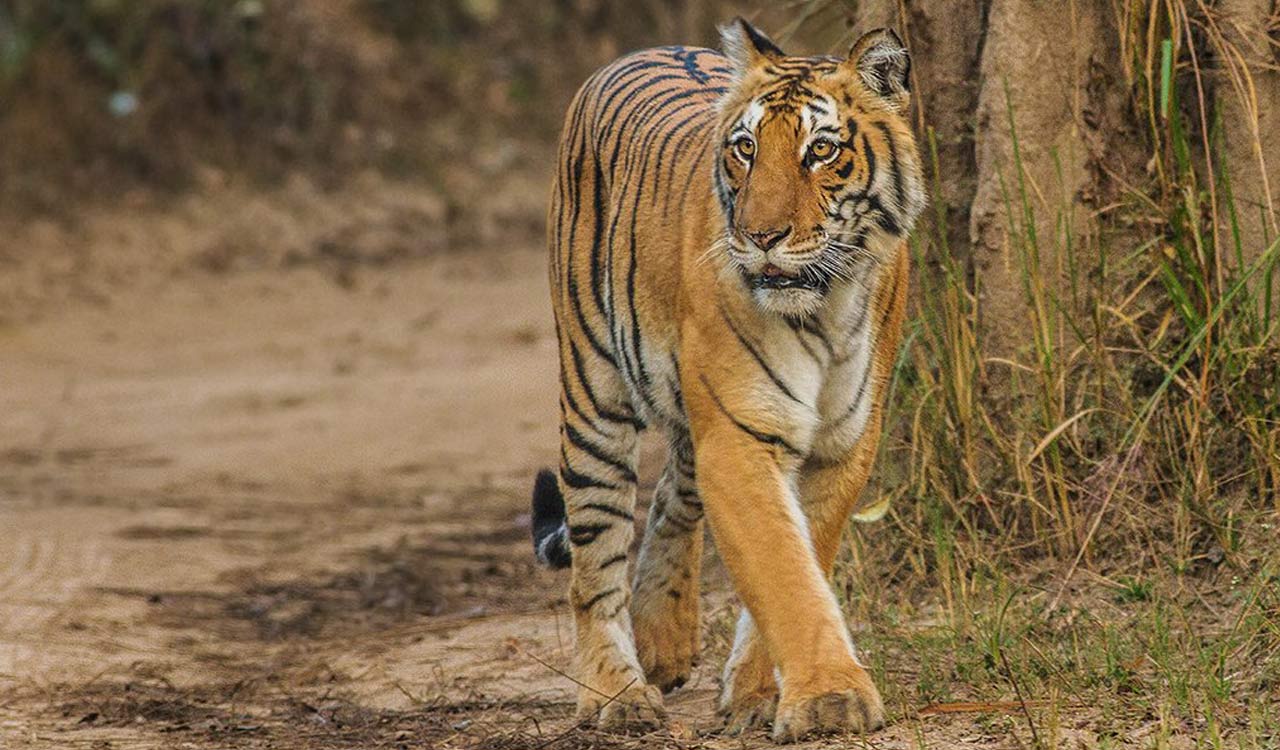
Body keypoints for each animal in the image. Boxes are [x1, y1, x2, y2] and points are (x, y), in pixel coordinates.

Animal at [528, 17, 924, 742]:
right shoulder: (740, 438)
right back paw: (616, 694)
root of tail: (642, 50)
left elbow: (803, 557)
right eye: (745, 148)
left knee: (671, 496)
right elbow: (782, 569)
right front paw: (830, 697)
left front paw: (759, 692)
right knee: (595, 561)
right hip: (593, 394)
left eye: (821, 150)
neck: (824, 309)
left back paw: (663, 638)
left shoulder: (843, 443)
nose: (761, 236)